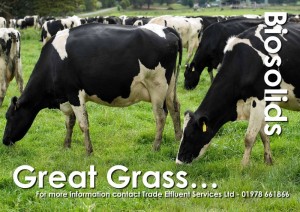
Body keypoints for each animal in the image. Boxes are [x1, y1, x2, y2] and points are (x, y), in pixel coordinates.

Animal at [3, 24, 183, 155]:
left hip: (157, 87)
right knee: (174, 108)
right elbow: (69, 123)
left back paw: (155, 147)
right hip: (170, 87)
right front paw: (66, 146)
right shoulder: (66, 98)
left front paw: (89, 152)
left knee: (161, 116)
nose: (4, 141)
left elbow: (83, 124)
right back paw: (178, 139)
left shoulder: (74, 94)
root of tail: (166, 29)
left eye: (9, 117)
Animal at [177, 22, 300, 166]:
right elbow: (264, 135)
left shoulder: (259, 100)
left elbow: (249, 138)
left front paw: (244, 166)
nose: (178, 161)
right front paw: (268, 161)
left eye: (190, 134)